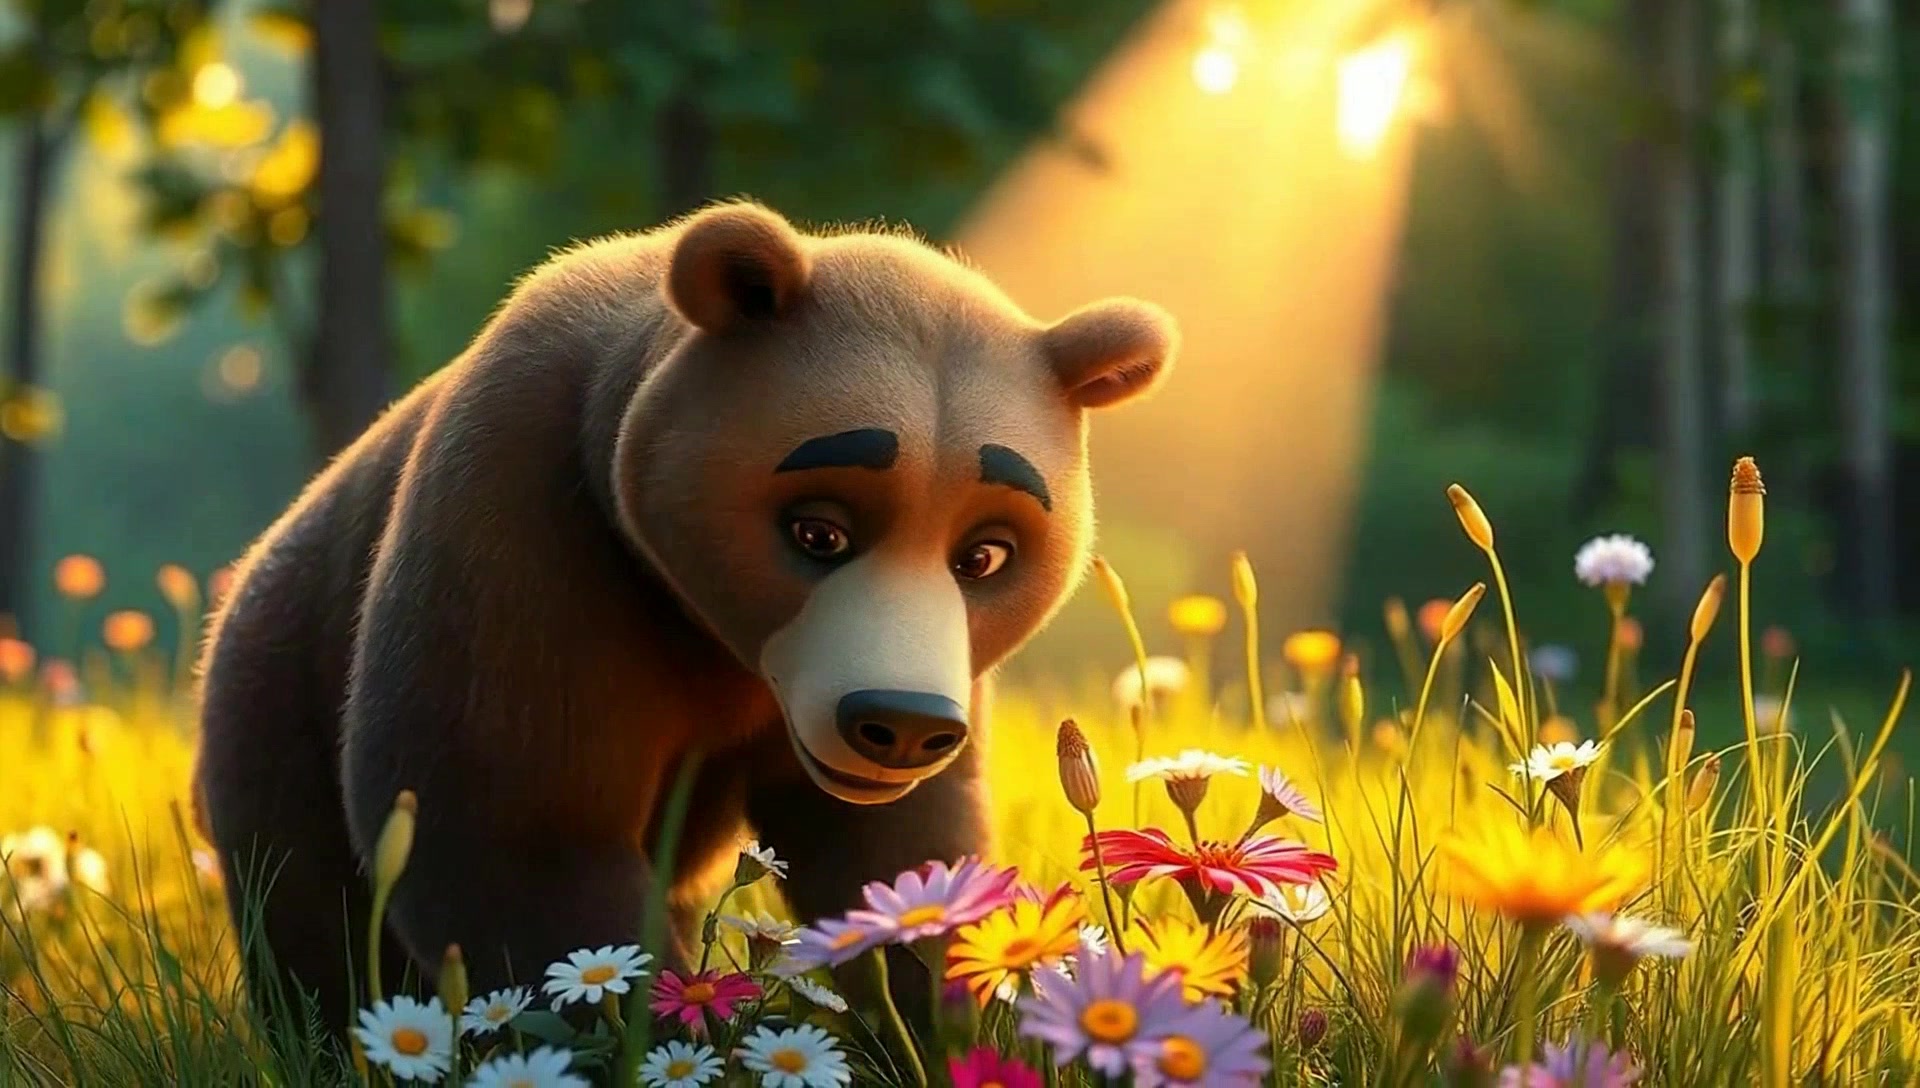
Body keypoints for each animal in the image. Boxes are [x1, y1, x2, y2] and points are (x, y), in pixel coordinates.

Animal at [191, 200, 1178, 1040]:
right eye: (818, 530)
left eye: (984, 556)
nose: (898, 724)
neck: (719, 638)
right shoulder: (526, 533)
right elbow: (511, 821)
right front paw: (658, 1026)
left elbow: (896, 852)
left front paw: (935, 1015)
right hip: (281, 691)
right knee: (309, 915)